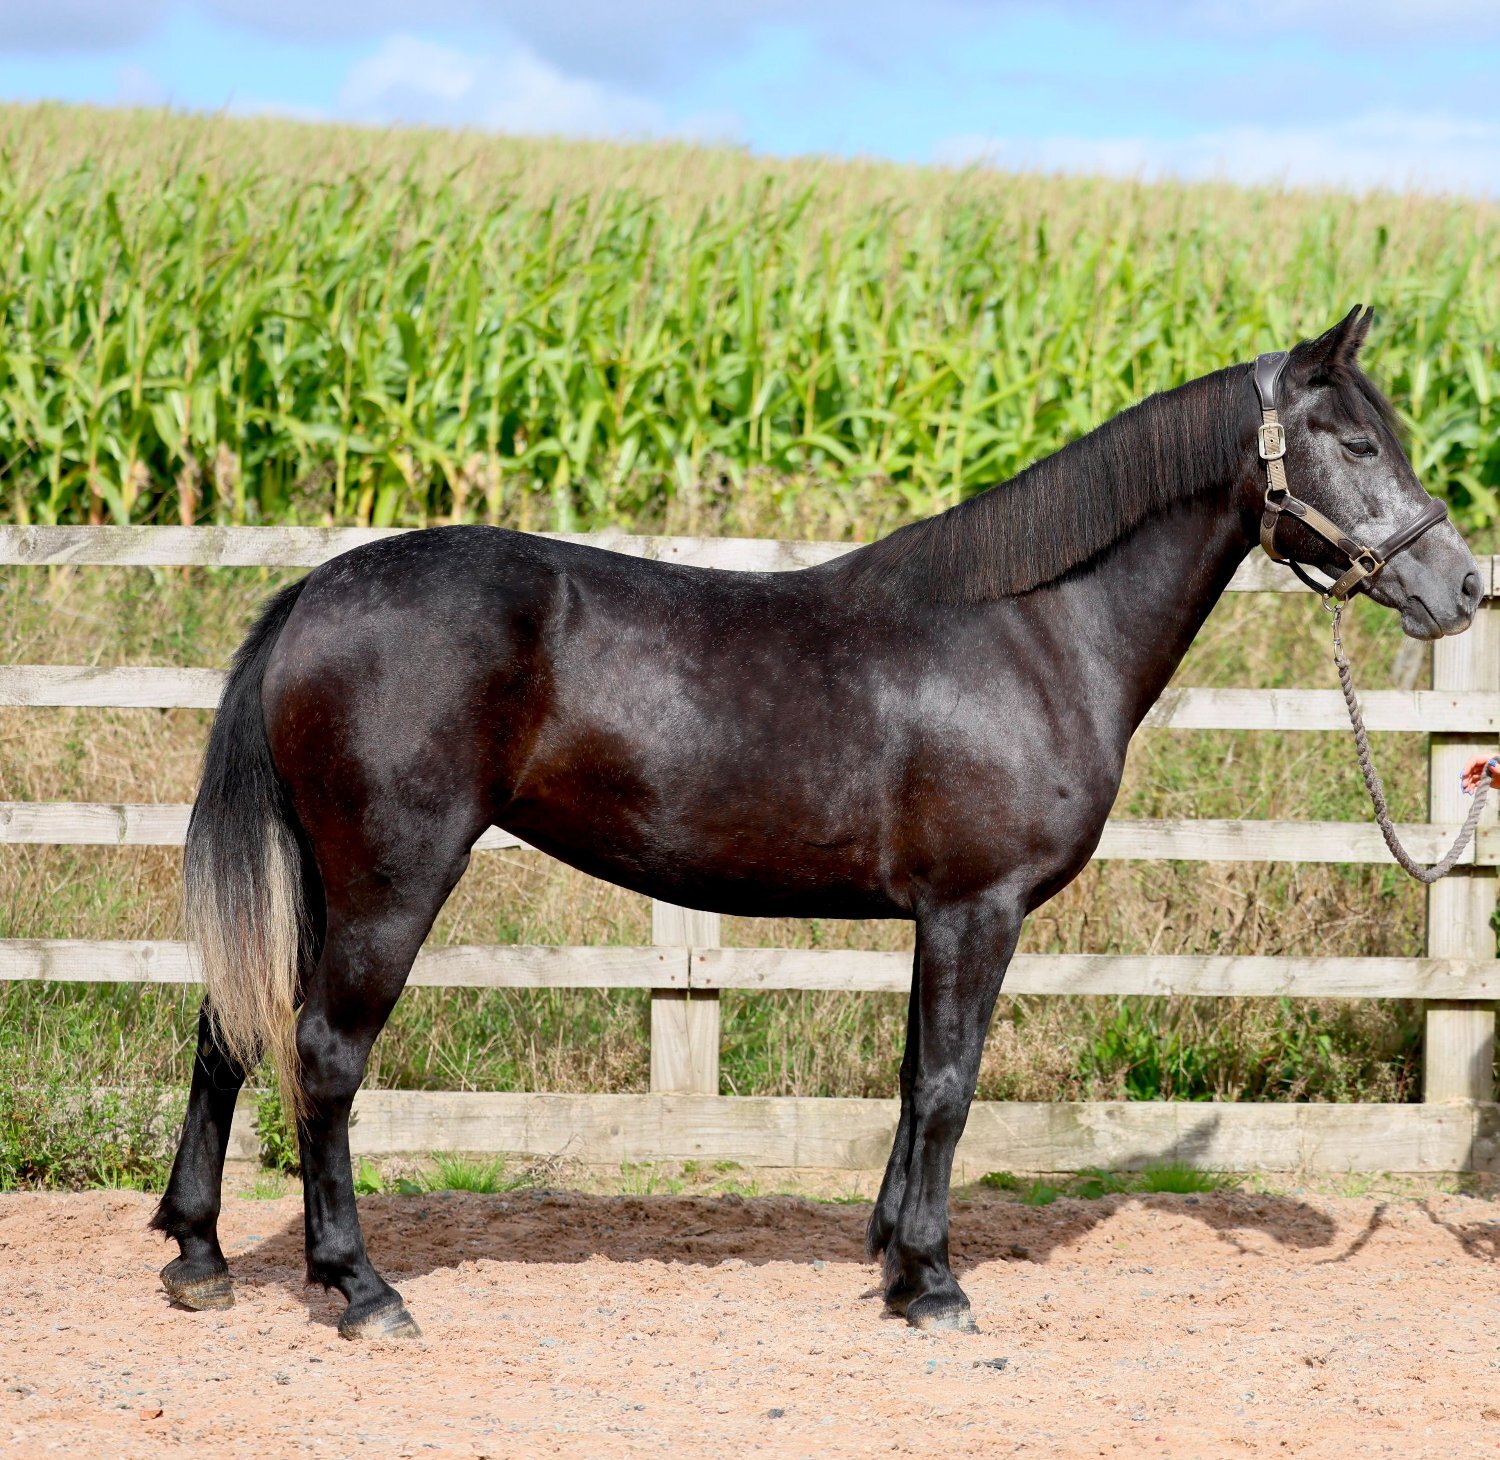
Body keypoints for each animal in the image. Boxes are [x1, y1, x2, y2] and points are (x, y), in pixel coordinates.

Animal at [151, 306, 1481, 1339]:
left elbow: (910, 1078)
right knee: (325, 1052)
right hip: (391, 878)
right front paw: (935, 1283)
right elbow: (946, 1082)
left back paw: (200, 1254)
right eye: (1357, 440)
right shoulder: (977, 909)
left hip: (319, 880)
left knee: (230, 1030)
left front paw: (891, 1252)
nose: (1465, 586)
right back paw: (361, 1287)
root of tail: (316, 590)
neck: (1034, 631)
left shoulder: (936, 918)